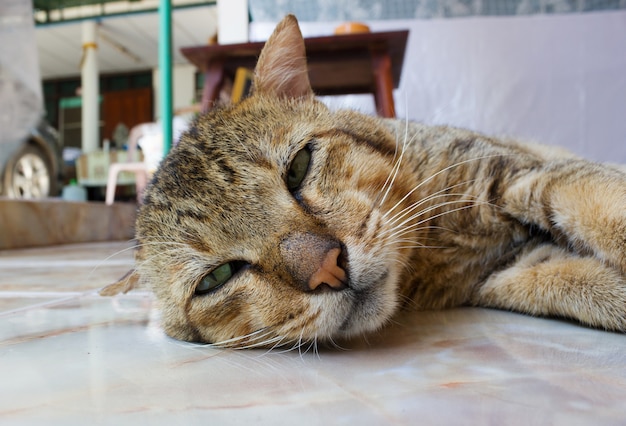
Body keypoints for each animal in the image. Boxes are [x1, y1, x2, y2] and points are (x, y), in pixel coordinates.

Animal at [100, 15, 620, 350]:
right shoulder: (515, 269)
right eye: (216, 278)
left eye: (298, 167)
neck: (434, 251)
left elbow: (606, 207)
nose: (327, 268)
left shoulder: (514, 173)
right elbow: (592, 287)